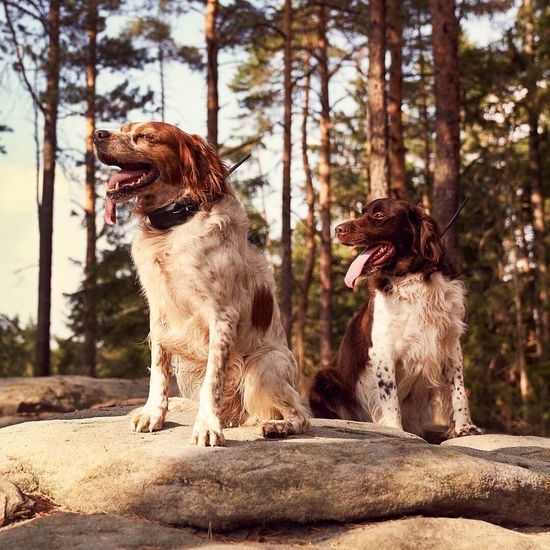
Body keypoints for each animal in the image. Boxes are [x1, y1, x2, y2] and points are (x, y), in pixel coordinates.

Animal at [95, 123, 310, 446]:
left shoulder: (221, 315)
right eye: (123, 129)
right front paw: (153, 414)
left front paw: (208, 426)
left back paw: (277, 427)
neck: (175, 224)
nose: (98, 135)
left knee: (300, 415)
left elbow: (213, 379)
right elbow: (158, 371)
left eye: (146, 136)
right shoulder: (159, 312)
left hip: (263, 366)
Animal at [310, 198, 484, 440]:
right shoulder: (383, 350)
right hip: (324, 379)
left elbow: (458, 390)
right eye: (363, 212)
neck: (412, 278)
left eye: (379, 215)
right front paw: (396, 431)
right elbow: (390, 398)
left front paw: (464, 427)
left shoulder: (450, 343)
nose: (338, 229)